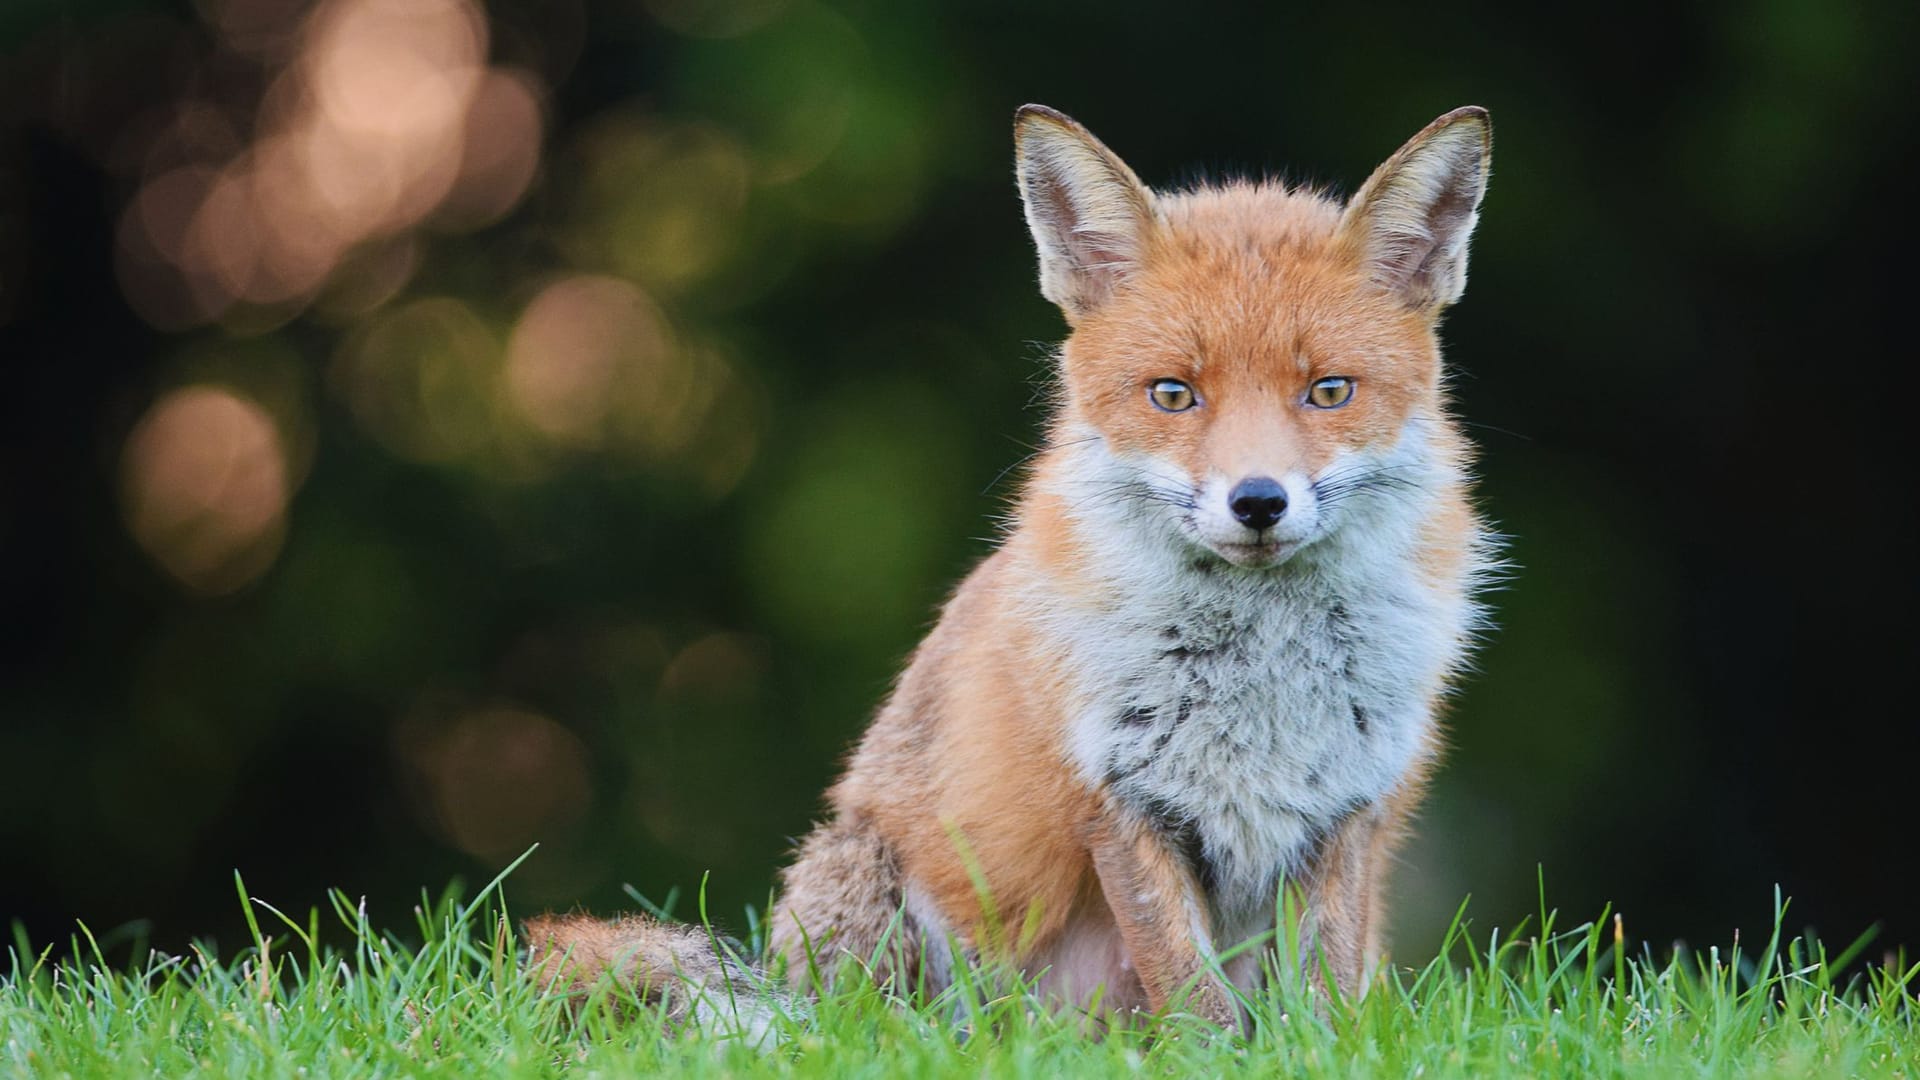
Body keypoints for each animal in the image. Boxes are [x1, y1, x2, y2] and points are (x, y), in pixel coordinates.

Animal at [526, 102, 1497, 1037]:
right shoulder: (1119, 800)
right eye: (1173, 394)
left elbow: (1321, 1005)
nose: (1257, 501)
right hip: (883, 912)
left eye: (1328, 391)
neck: (1260, 670)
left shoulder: (1348, 808)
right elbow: (1197, 1006)